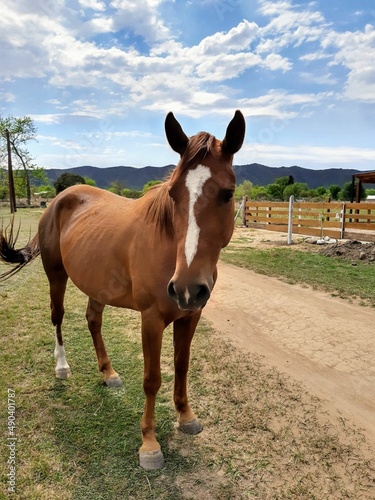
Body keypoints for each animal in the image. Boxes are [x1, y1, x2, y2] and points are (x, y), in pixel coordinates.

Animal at [0, 111, 247, 470]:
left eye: (227, 194)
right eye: (173, 194)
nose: (187, 287)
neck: (169, 249)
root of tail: (59, 199)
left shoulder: (191, 316)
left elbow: (182, 366)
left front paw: (186, 417)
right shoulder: (151, 320)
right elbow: (152, 379)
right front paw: (149, 444)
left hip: (97, 283)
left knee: (93, 320)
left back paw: (109, 373)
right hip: (56, 276)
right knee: (57, 317)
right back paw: (62, 367)